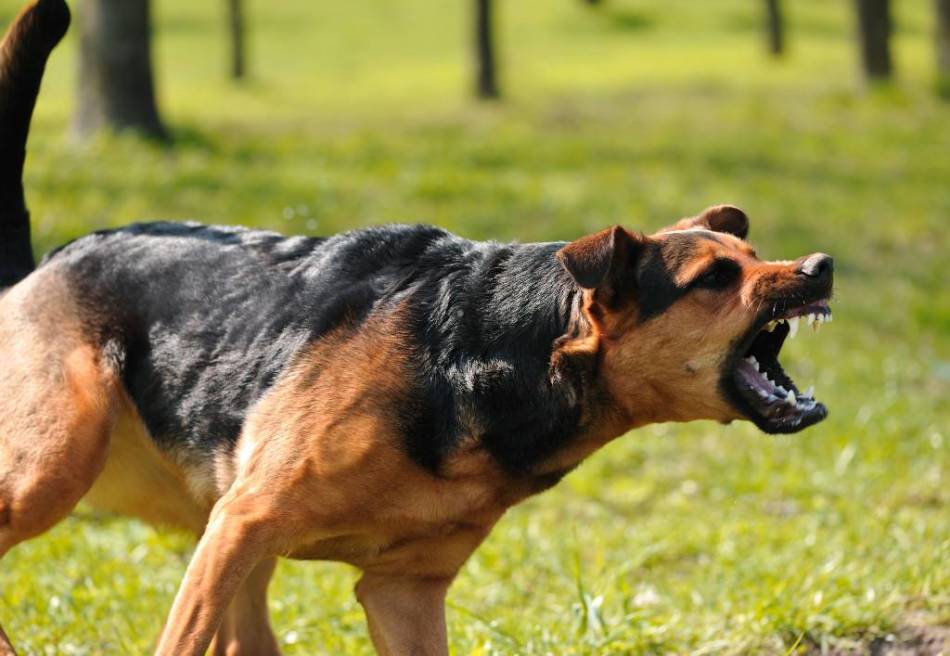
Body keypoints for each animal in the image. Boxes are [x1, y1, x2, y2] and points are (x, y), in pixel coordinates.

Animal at [0, 2, 832, 652]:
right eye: (716, 278)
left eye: (753, 255)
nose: (820, 266)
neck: (491, 355)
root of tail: (39, 267)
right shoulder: (245, 524)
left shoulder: (400, 589)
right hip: (59, 469)